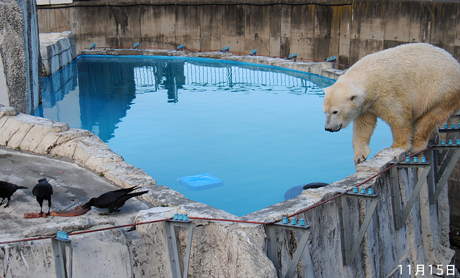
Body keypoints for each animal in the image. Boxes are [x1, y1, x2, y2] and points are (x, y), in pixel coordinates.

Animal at [322, 43, 460, 165]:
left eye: (335, 111)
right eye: (325, 111)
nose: (328, 128)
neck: (368, 77)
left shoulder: (387, 92)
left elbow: (399, 118)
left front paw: (396, 146)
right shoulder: (366, 105)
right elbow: (364, 126)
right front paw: (359, 156)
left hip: (441, 92)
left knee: (427, 119)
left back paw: (417, 146)